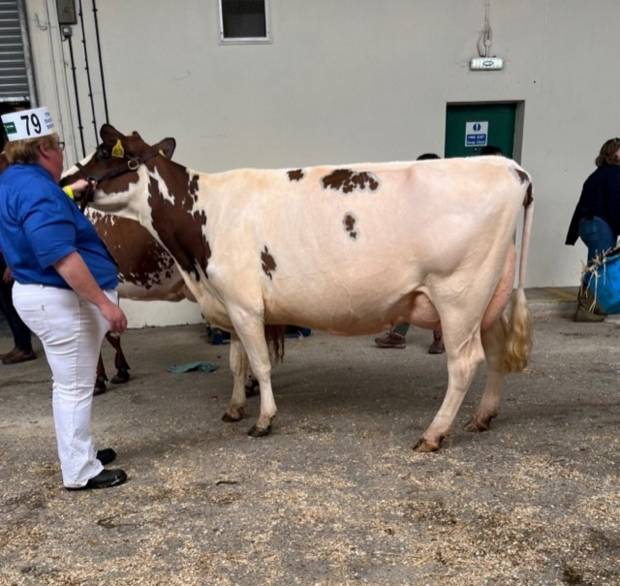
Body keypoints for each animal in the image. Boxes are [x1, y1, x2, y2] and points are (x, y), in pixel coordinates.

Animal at [68, 125, 532, 450]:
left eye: (104, 154)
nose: (68, 183)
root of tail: (509, 167)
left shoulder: (245, 306)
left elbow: (260, 364)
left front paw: (264, 419)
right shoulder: (230, 303)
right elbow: (237, 363)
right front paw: (235, 408)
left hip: (458, 295)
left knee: (464, 363)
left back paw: (434, 434)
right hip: (489, 295)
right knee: (494, 353)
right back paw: (483, 416)